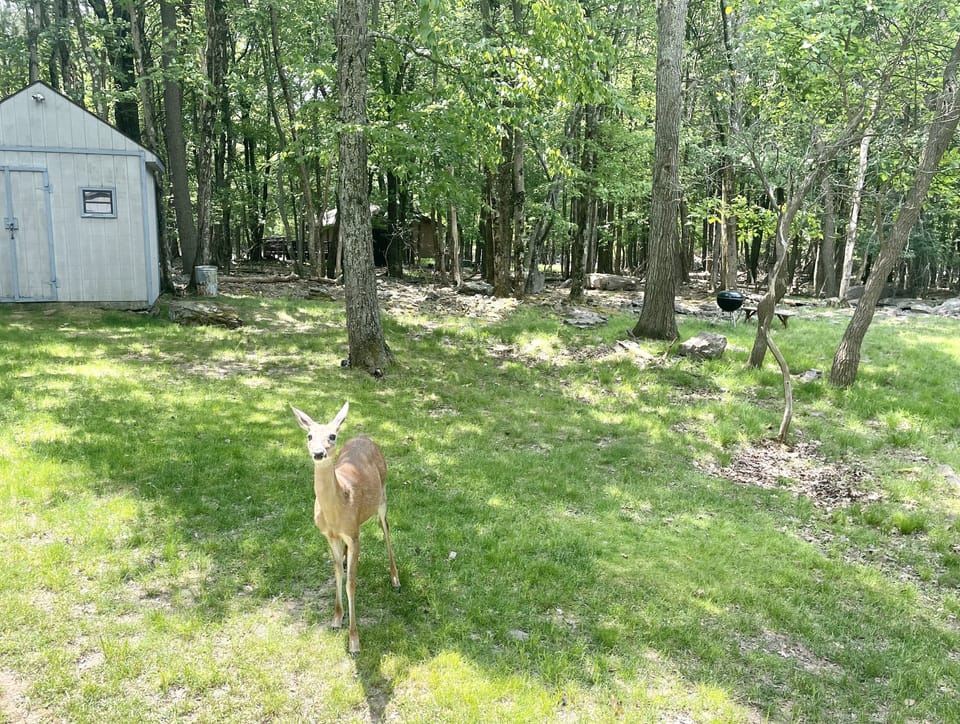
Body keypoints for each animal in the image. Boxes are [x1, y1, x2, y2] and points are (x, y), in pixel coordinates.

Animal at [291, 402, 399, 654]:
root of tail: (363, 436)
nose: (318, 453)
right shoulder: (329, 535)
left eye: (332, 435)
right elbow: (337, 573)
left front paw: (354, 641)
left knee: (386, 529)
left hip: (383, 495)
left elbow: (351, 583)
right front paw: (336, 618)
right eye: (309, 435)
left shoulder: (353, 535)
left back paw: (395, 578)